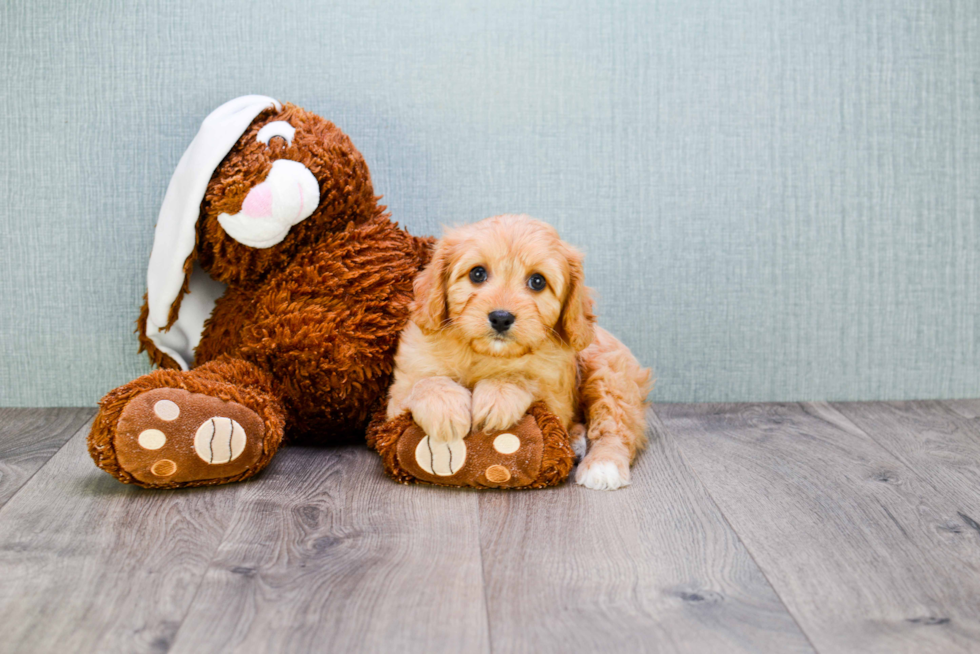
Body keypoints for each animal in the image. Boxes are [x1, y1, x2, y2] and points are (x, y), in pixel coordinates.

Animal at [386, 215, 656, 492]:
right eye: (477, 273)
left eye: (538, 281)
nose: (501, 317)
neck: (486, 354)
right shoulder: (398, 394)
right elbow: (424, 383)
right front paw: (444, 408)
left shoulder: (556, 398)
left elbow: (524, 378)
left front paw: (497, 395)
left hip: (608, 374)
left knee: (615, 424)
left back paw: (603, 465)